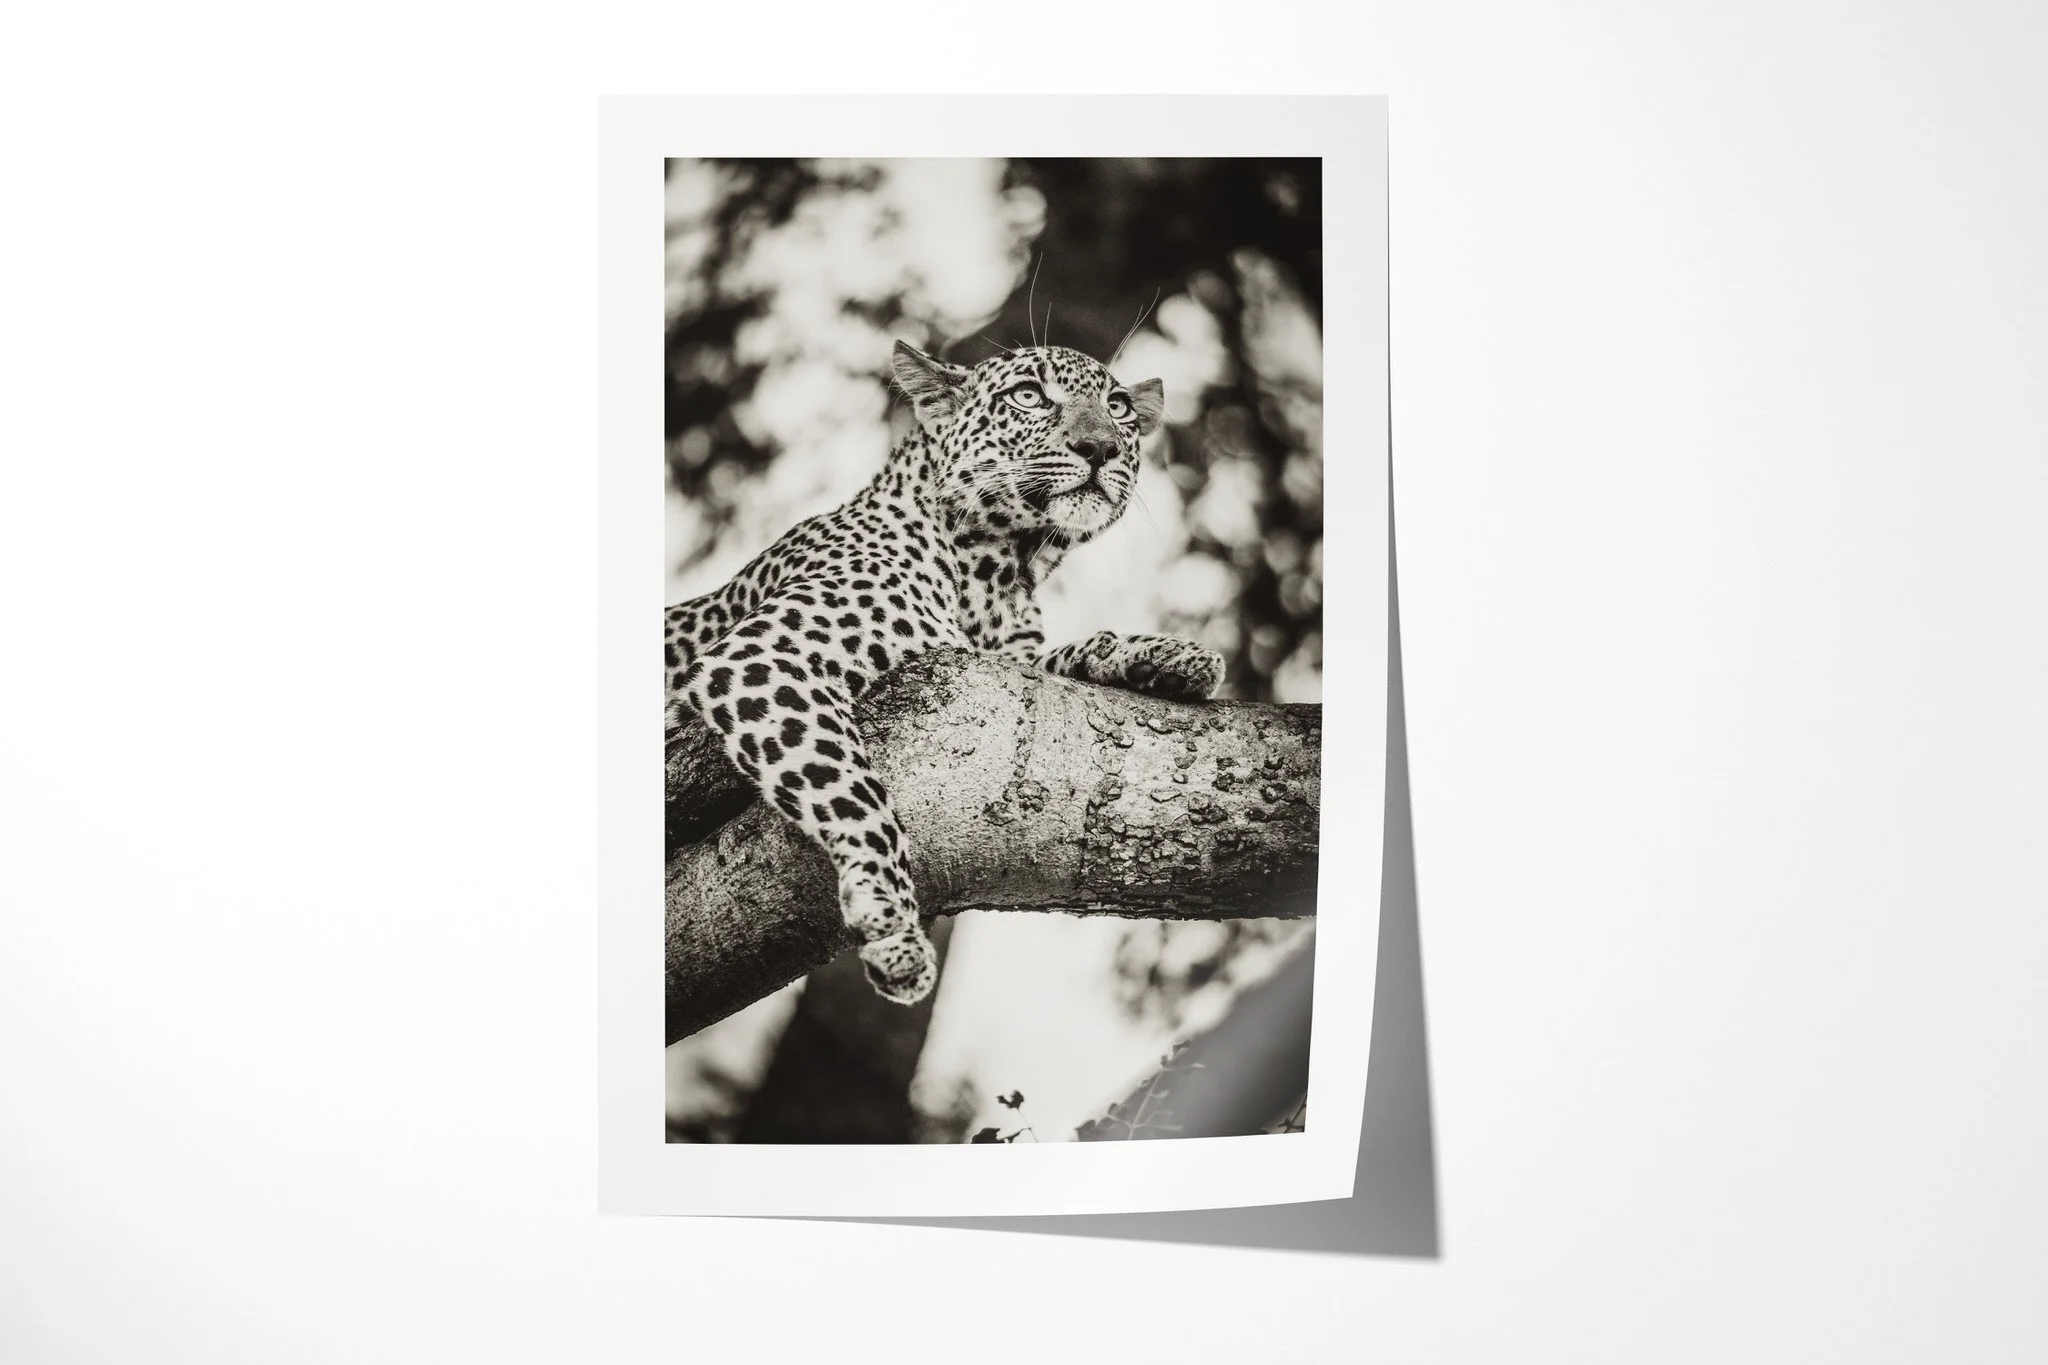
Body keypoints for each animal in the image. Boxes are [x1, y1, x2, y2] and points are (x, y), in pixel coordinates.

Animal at [665, 339, 1226, 1005]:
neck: (999, 575)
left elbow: (1061, 656)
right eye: (1028, 395)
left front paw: (1170, 655)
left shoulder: (1000, 658)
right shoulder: (765, 653)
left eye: (1118, 409)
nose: (1100, 448)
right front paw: (892, 928)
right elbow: (856, 796)